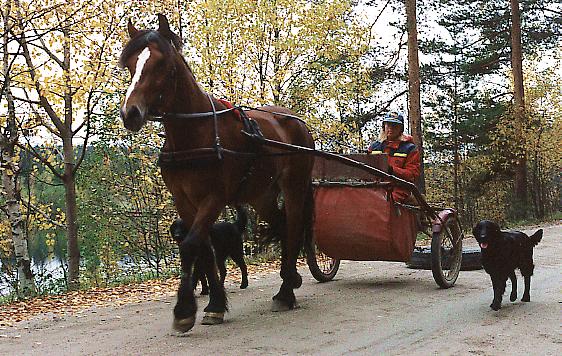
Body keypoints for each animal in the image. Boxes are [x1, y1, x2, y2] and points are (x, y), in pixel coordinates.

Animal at [118, 13, 316, 330]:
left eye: (161, 63)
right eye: (131, 64)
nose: (131, 113)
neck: (194, 134)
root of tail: (295, 120)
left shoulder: (214, 197)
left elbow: (190, 246)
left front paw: (185, 310)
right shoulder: (184, 201)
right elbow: (203, 249)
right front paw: (214, 304)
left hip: (295, 186)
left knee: (294, 225)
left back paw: (286, 292)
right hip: (262, 195)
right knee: (283, 225)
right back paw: (290, 280)